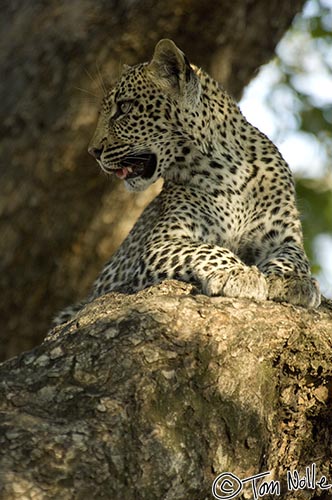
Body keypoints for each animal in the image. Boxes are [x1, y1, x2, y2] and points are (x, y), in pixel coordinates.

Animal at [53, 39, 320, 326]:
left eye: (124, 108)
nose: (93, 151)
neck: (229, 170)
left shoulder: (284, 238)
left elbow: (293, 257)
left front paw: (291, 280)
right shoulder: (162, 242)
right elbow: (208, 249)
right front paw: (238, 274)